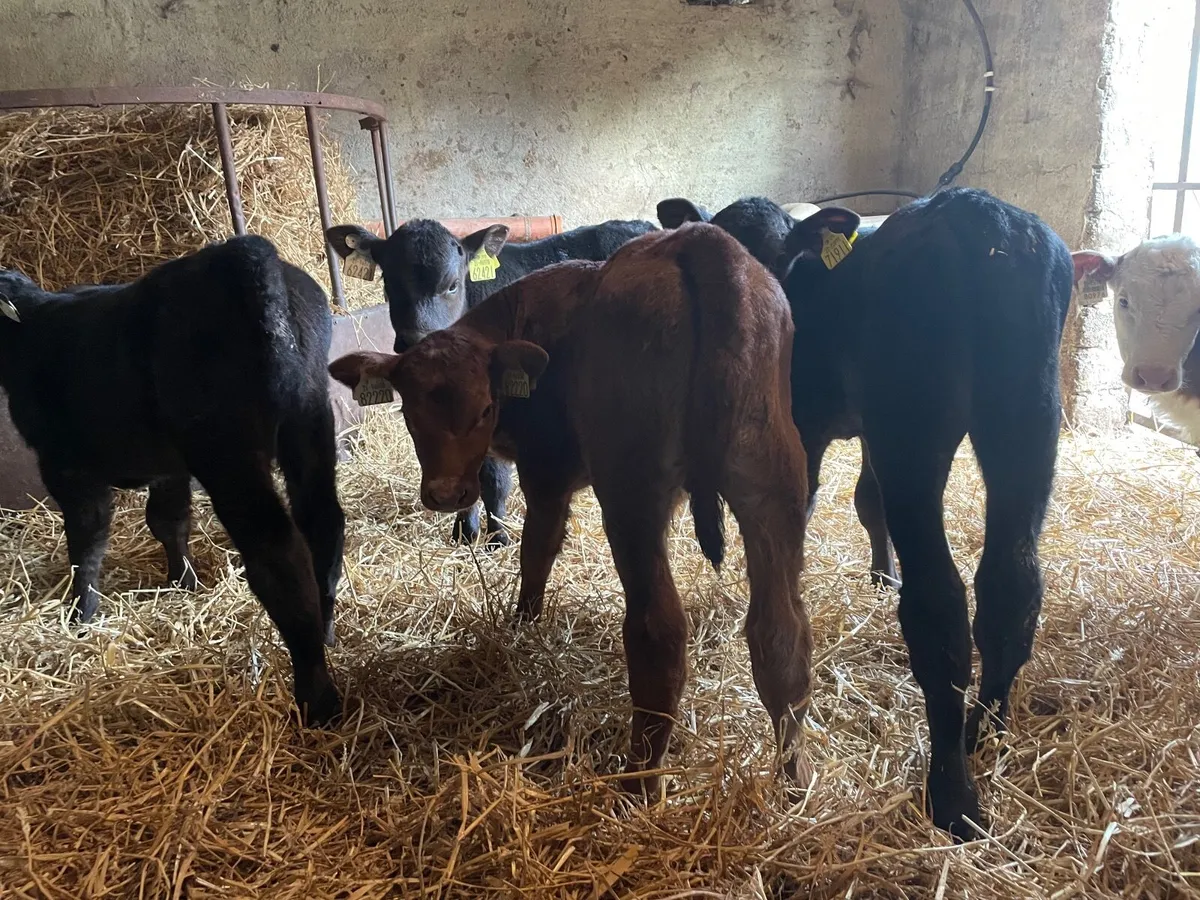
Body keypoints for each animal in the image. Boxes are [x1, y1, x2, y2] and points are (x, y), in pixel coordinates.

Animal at [0, 235, 345, 725]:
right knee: (323, 523)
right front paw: (185, 582)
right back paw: (327, 630)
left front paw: (82, 612)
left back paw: (316, 696)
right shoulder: (169, 466)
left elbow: (86, 541)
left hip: (226, 450)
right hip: (310, 418)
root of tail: (242, 252)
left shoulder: (65, 464)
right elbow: (168, 521)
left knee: (276, 551)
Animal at [325, 217, 657, 551]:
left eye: (452, 285)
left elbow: (495, 479)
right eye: (388, 284)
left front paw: (497, 536)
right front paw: (463, 530)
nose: (415, 339)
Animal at [662, 188, 1073, 839]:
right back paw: (986, 735)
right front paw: (882, 574)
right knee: (1012, 586)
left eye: (781, 256)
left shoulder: (801, 426)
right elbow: (866, 500)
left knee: (940, 607)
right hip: (1027, 420)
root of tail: (983, 218)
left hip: (914, 427)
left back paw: (952, 796)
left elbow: (801, 508)